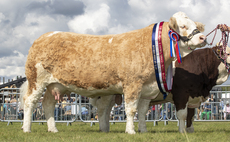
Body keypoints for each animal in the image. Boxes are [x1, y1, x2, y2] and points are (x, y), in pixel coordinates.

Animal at [19, 11, 206, 134]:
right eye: (183, 26)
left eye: (195, 25)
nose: (202, 37)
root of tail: (44, 36)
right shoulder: (132, 84)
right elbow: (131, 110)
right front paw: (130, 131)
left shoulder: (147, 88)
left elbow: (142, 111)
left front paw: (143, 130)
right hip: (36, 80)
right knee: (29, 102)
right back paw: (27, 129)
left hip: (55, 85)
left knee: (48, 104)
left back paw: (53, 129)